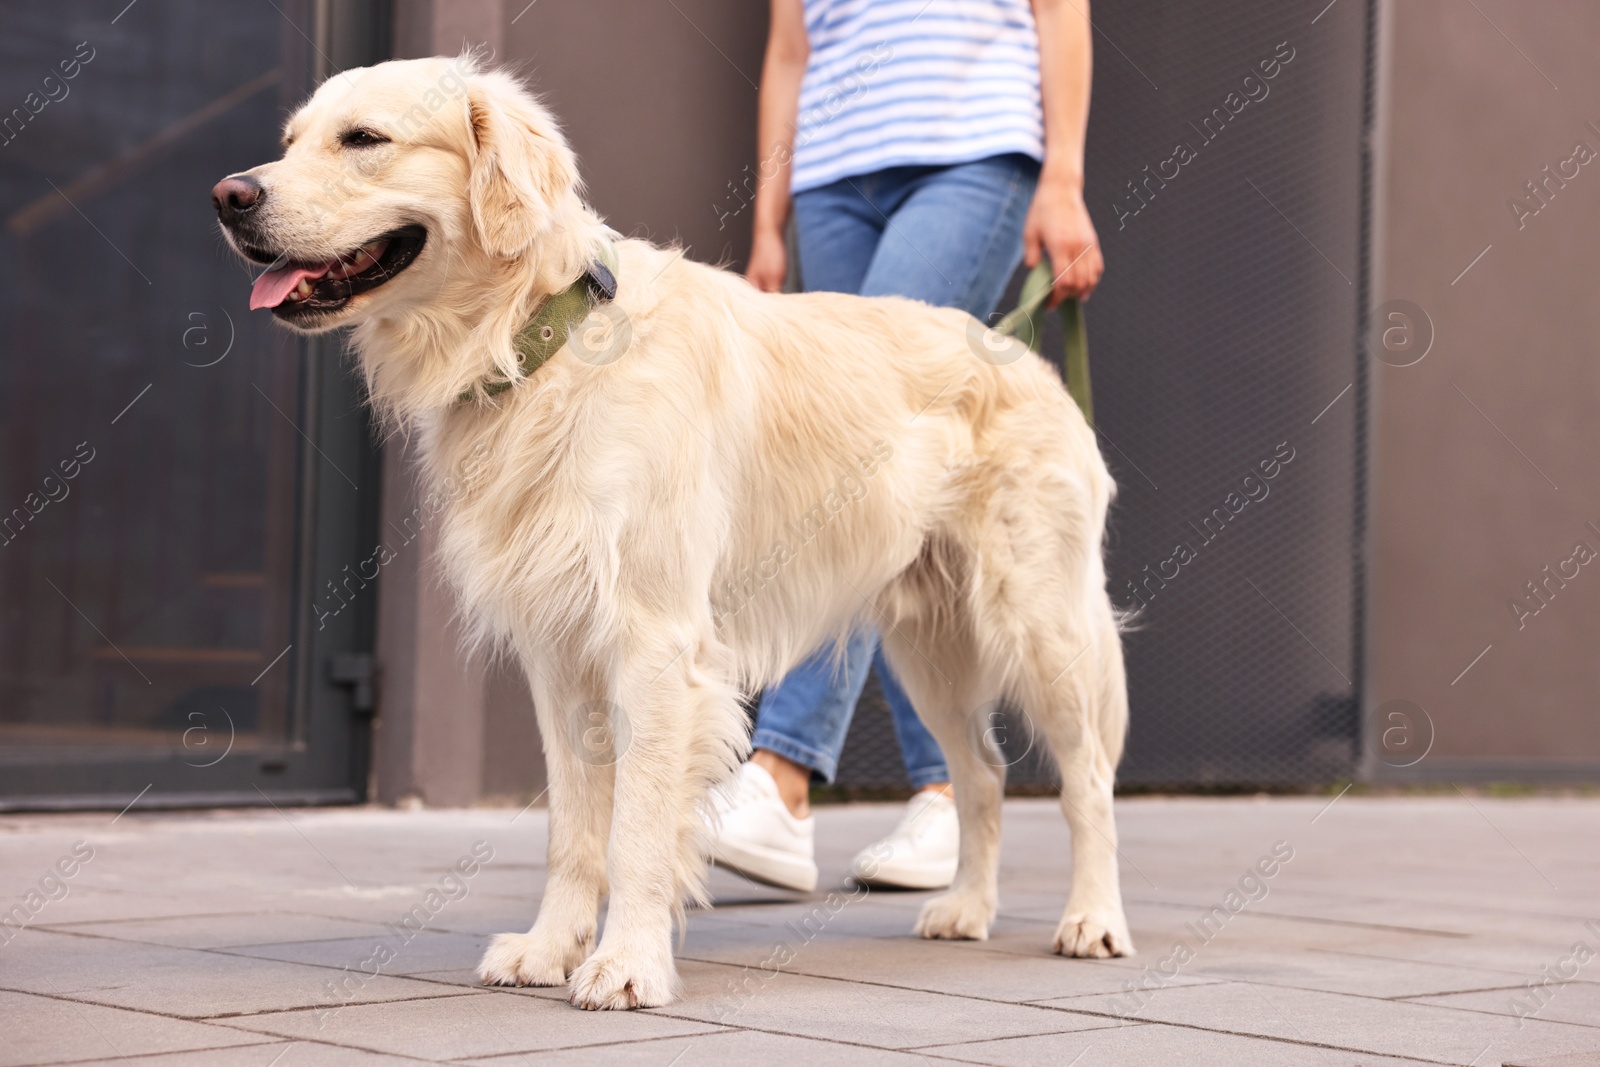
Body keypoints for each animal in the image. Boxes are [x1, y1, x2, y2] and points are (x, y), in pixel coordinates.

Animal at [212, 56, 1132, 1011]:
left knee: (1088, 783)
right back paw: (967, 907)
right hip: (931, 649)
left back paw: (1094, 919)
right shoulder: (559, 653)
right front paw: (550, 947)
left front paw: (627, 963)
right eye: (290, 141)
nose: (229, 196)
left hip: (1041, 625)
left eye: (364, 139)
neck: (539, 340)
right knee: (984, 774)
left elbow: (638, 827)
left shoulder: (653, 645)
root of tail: (1027, 354)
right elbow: (573, 829)